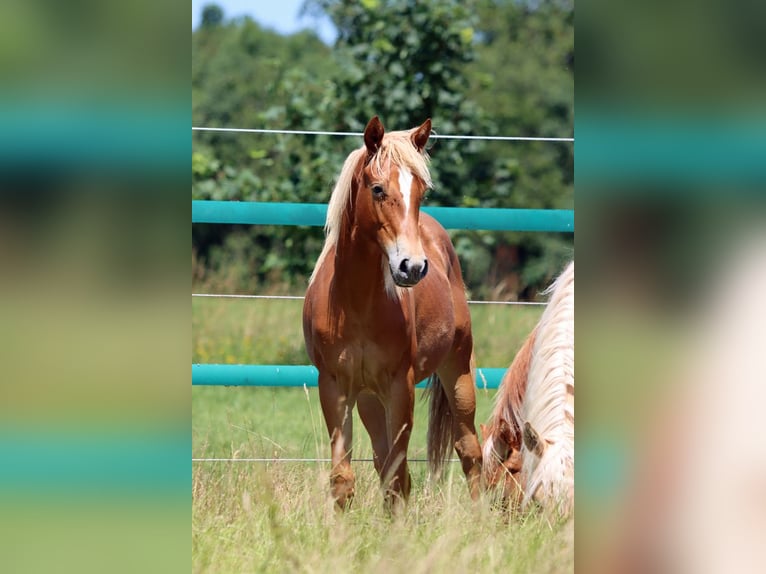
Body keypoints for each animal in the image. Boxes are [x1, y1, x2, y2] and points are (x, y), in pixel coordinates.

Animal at [303, 116, 482, 509]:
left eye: (421, 192)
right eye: (378, 189)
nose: (412, 267)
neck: (354, 304)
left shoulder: (400, 387)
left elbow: (400, 477)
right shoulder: (334, 387)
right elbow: (345, 478)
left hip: (458, 371)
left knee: (470, 452)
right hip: (369, 399)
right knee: (383, 461)